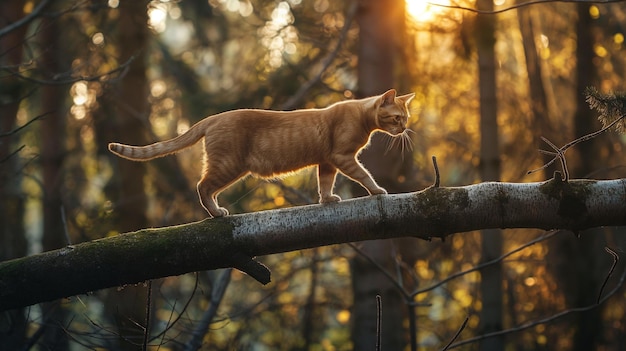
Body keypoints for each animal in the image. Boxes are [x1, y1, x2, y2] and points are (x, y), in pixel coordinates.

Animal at [109, 88, 414, 217]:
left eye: (406, 119)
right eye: (398, 118)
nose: (405, 129)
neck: (362, 117)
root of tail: (214, 117)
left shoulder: (327, 162)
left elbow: (325, 183)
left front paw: (327, 199)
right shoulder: (342, 157)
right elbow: (364, 175)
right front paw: (377, 190)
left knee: (206, 186)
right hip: (228, 165)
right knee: (202, 186)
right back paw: (216, 213)